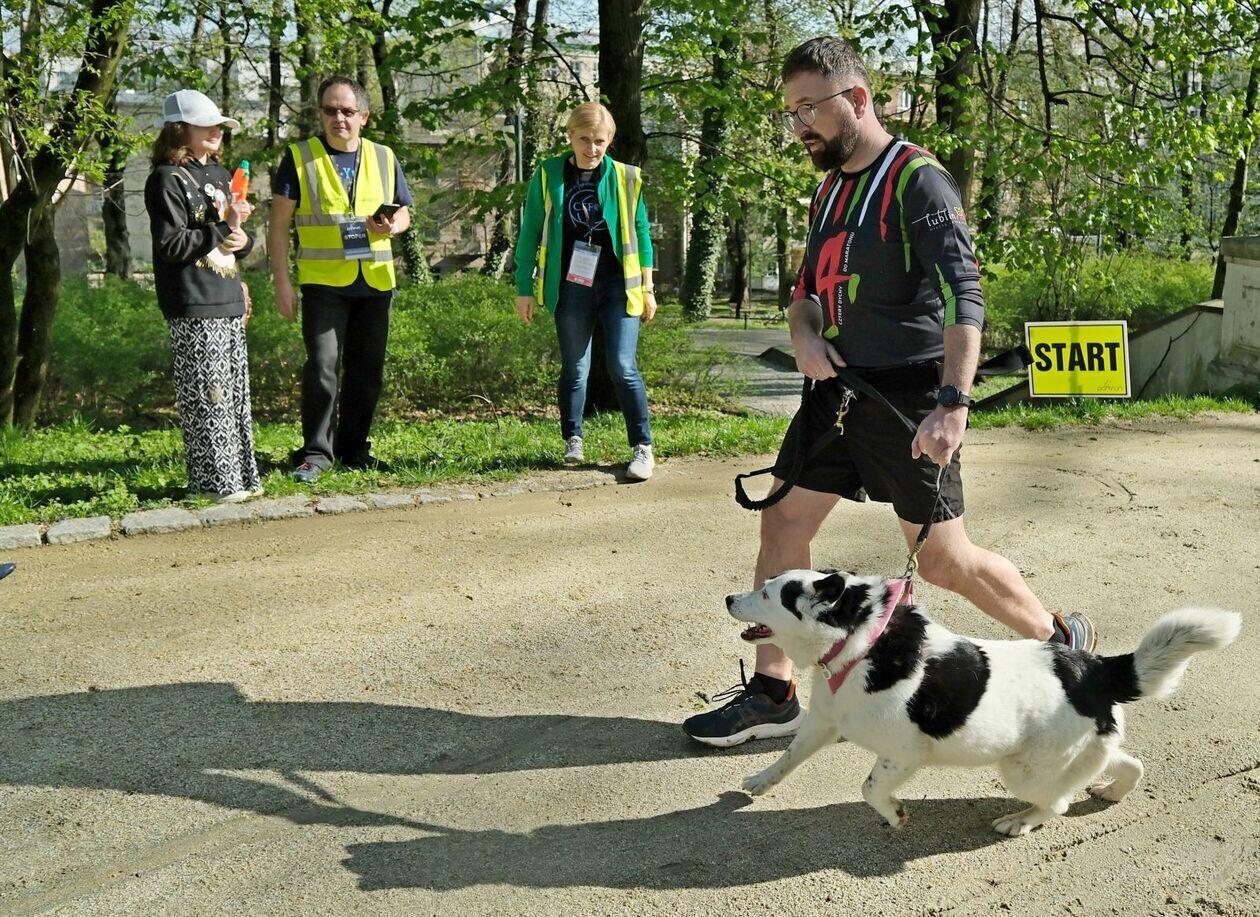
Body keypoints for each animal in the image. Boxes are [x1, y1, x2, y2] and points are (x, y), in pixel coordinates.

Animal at [726, 569, 1240, 836]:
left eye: (767, 593)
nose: (730, 597)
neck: (863, 640)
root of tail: (1096, 669)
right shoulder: (822, 724)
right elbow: (787, 758)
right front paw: (758, 781)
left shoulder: (902, 755)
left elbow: (871, 790)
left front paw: (895, 816)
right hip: (1077, 753)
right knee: (1126, 764)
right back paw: (1112, 792)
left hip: (1025, 768)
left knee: (1057, 804)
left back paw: (1019, 821)